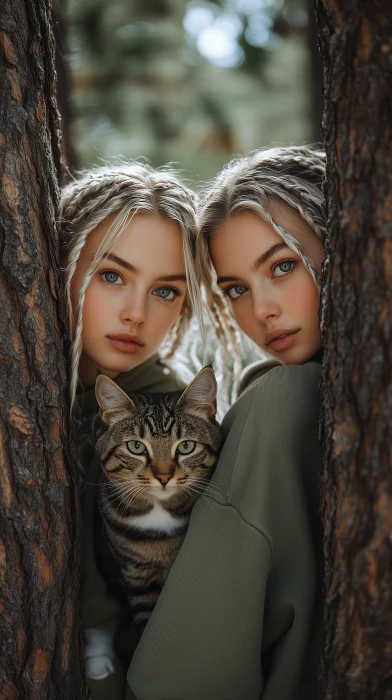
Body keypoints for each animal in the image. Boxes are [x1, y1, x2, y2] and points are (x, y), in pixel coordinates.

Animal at [83, 366, 220, 680]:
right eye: (136, 446)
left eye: (185, 446)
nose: (163, 476)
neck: (158, 513)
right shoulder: (137, 575)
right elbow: (147, 620)